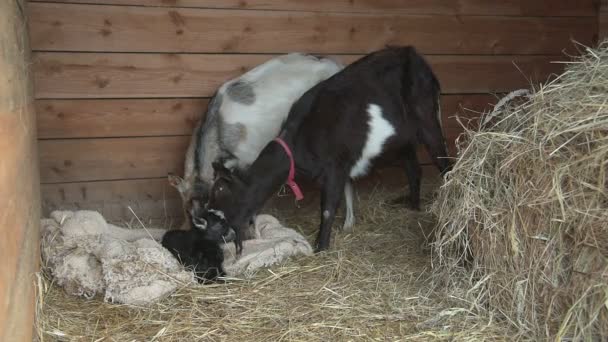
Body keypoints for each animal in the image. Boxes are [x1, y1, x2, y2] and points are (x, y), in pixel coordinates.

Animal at [166, 52, 356, 230]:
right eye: (187, 211)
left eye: (211, 208)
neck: (219, 127)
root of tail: (336, 64)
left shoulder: (250, 160)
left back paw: (349, 222)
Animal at [201, 46, 452, 252]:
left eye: (221, 192)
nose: (206, 229)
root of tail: (413, 55)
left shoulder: (336, 167)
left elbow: (328, 208)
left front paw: (321, 247)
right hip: (403, 140)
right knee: (414, 169)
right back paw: (413, 206)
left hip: (429, 120)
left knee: (443, 162)